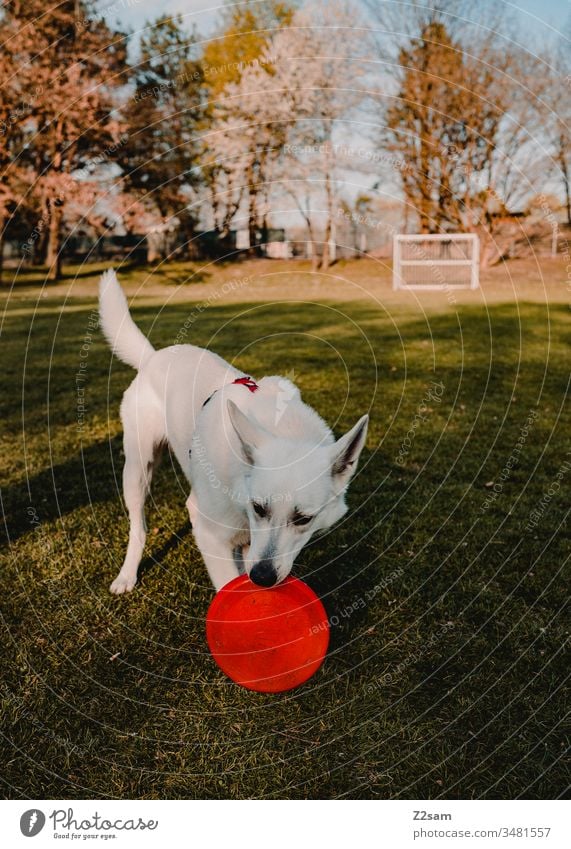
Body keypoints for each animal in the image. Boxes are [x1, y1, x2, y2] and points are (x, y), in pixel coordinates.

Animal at [100, 268, 368, 592]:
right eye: (259, 508)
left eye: (304, 519)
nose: (263, 577)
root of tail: (152, 356)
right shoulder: (208, 530)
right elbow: (227, 582)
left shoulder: (249, 544)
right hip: (138, 469)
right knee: (138, 527)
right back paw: (127, 575)